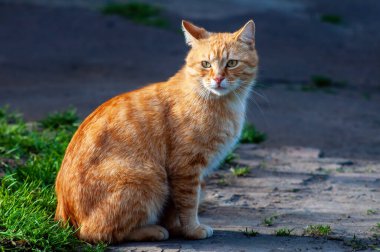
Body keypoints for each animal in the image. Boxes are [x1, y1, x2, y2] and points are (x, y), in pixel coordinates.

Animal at [55, 20, 258, 244]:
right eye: (206, 64)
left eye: (231, 63)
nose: (218, 78)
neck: (222, 103)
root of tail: (64, 217)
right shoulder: (185, 168)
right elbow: (188, 204)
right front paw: (192, 230)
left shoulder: (187, 175)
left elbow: (174, 210)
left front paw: (179, 229)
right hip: (150, 179)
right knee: (97, 232)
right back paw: (152, 231)